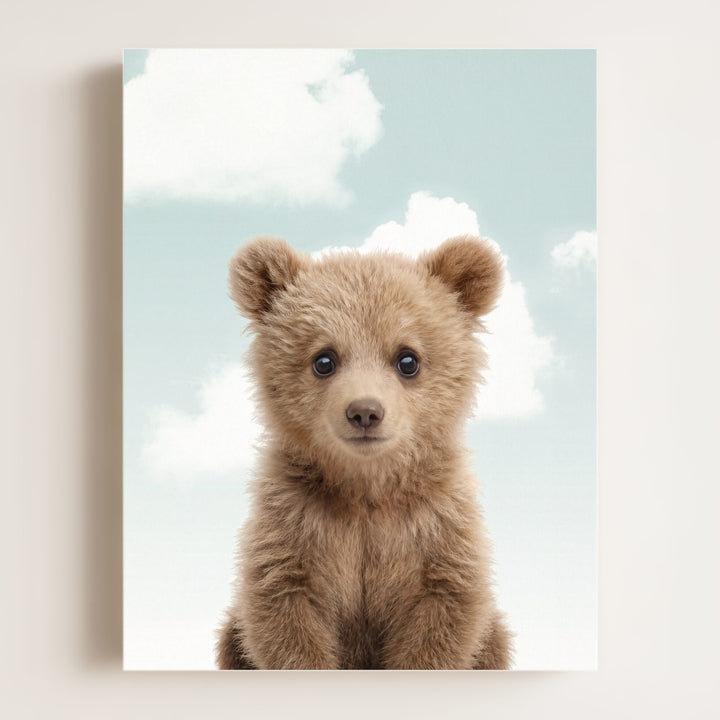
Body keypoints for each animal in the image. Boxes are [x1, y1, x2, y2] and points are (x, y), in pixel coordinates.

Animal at [216, 234, 513, 670]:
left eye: (408, 359)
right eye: (324, 359)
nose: (365, 412)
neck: (366, 487)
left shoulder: (436, 529)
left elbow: (442, 617)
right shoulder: (294, 524)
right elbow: (285, 614)